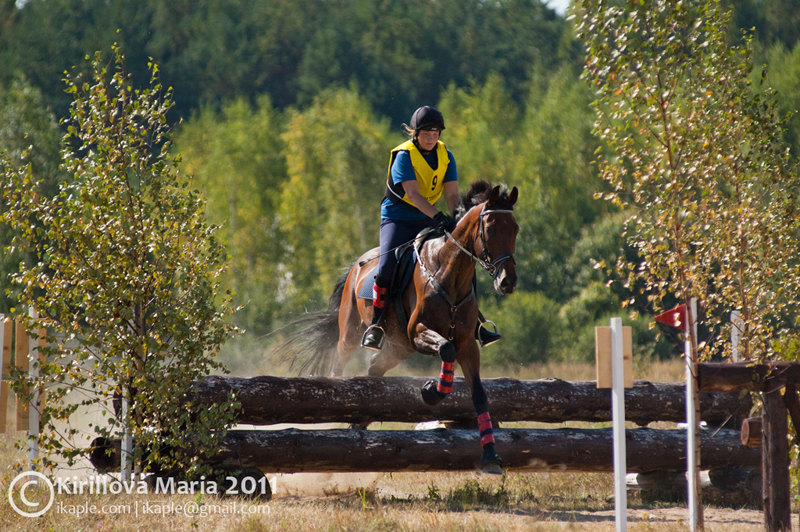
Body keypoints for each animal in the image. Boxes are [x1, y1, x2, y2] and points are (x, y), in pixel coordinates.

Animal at [280, 181, 520, 472]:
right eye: (491, 229)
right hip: (352, 331)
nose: (507, 282)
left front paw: (491, 456)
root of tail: (356, 264)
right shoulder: (418, 332)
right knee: (341, 361)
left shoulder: (466, 344)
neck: (449, 272)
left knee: (374, 369)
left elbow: (479, 395)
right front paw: (431, 392)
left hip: (398, 348)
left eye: (515, 229)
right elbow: (446, 349)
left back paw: (358, 423)